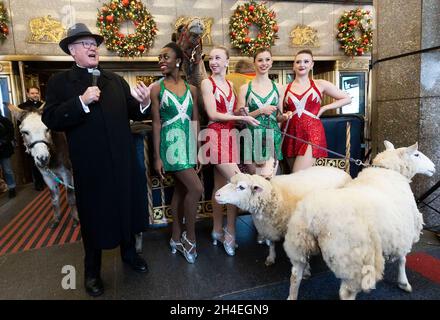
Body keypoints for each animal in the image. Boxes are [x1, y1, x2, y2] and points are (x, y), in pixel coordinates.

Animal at [215, 166, 352, 266]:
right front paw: (271, 258)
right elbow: (271, 244)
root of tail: (344, 171)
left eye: (241, 187)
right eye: (229, 181)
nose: (216, 194)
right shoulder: (268, 227)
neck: (274, 195)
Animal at [284, 140, 434, 300]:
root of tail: (313, 216)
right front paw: (404, 283)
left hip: (298, 244)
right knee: (346, 293)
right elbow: (402, 259)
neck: (388, 171)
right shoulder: (403, 232)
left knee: (295, 276)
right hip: (351, 260)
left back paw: (292, 294)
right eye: (417, 154)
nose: (434, 167)